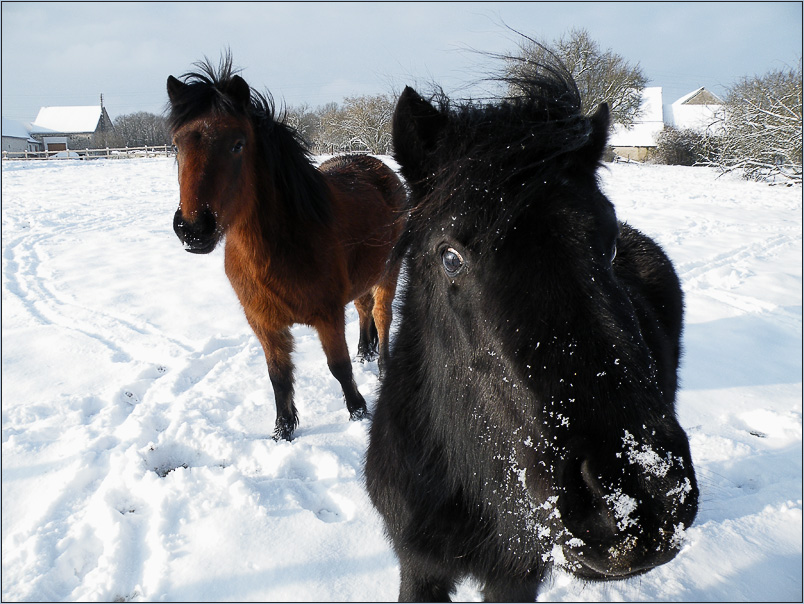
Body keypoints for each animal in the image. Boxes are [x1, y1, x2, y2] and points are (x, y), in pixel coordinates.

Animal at [165, 56, 402, 442]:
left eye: (237, 144)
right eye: (175, 145)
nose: (194, 229)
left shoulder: (327, 315)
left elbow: (338, 366)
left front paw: (358, 412)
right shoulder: (263, 322)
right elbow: (278, 376)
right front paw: (283, 431)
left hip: (389, 271)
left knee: (382, 316)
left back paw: (382, 367)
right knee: (364, 309)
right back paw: (365, 350)